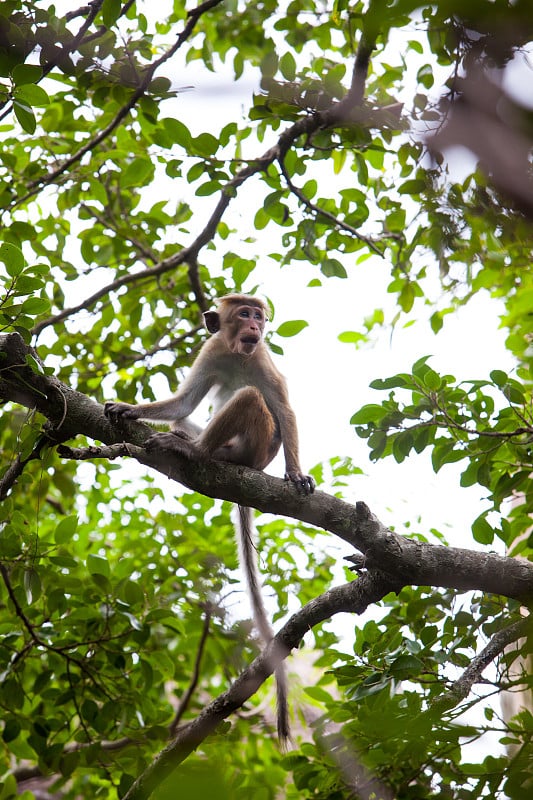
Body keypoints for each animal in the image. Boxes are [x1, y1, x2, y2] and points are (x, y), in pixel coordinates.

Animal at [104, 296, 314, 744]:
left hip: (254, 446)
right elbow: (184, 402)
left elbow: (284, 410)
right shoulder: (212, 350)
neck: (237, 353)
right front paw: (128, 408)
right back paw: (186, 439)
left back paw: (196, 450)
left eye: (258, 315)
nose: (256, 324)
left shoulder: (262, 358)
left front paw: (295, 474)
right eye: (244, 313)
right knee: (186, 416)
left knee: (251, 398)